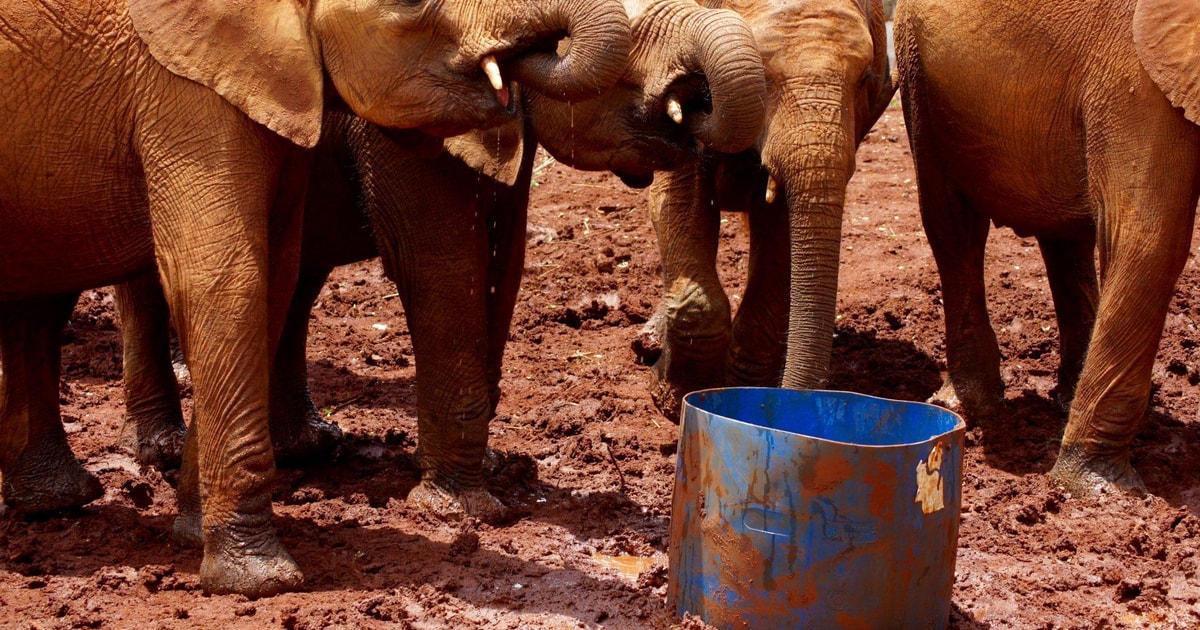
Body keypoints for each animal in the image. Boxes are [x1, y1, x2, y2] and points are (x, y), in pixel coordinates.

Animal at [0, 0, 633, 595]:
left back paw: (55, 502)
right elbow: (226, 279)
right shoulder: (180, 94)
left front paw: (195, 537)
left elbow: (275, 280)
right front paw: (261, 582)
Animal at [112, 0, 763, 523]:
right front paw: (463, 509)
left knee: (296, 280)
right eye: (626, 58)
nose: (700, 109)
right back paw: (165, 451)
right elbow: (442, 265)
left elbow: (503, 267)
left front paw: (486, 466)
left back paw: (307, 448)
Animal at [633, 0, 897, 415]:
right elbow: (680, 198)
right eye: (763, 79)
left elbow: (780, 229)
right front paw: (673, 399)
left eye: (865, 80)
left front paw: (742, 387)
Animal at [897, 0, 1200, 494]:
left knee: (1065, 236)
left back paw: (1063, 399)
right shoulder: (1140, 78)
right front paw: (1100, 490)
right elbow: (1149, 241)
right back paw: (967, 410)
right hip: (917, 66)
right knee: (953, 225)